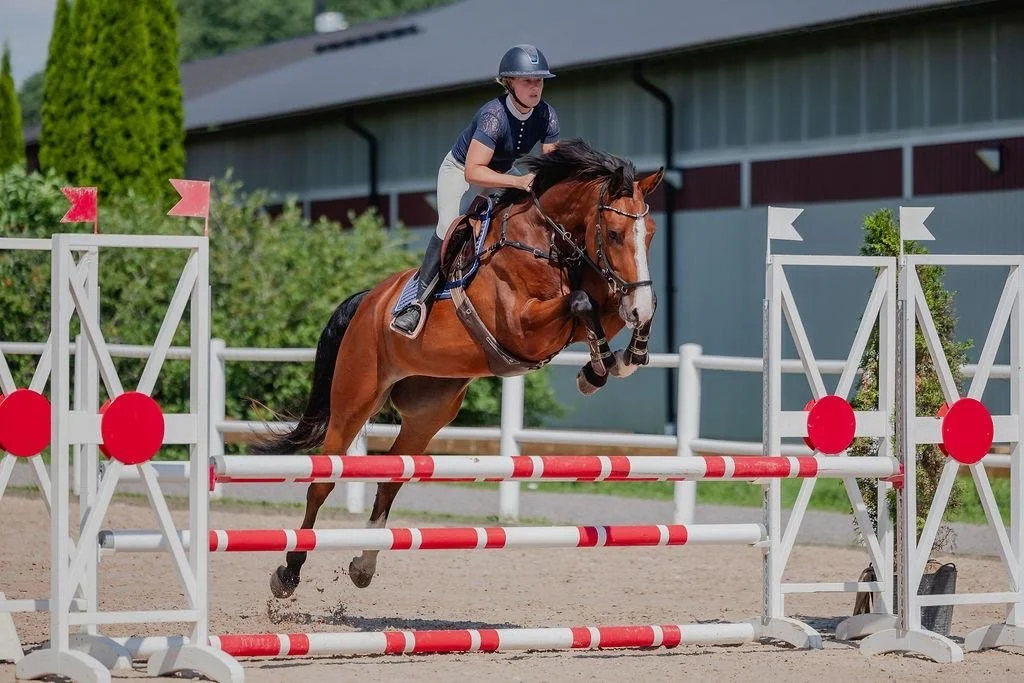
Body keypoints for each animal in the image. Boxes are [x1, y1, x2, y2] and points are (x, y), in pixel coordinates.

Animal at [254, 138, 664, 598]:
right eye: (613, 234)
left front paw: (617, 359)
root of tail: (368, 301)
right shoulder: (523, 328)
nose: (636, 303)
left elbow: (607, 308)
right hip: (353, 400)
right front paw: (600, 367)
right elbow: (582, 302)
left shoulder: (591, 307)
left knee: (392, 476)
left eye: (649, 234)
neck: (543, 242)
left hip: (428, 412)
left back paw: (364, 564)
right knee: (323, 479)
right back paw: (288, 572)